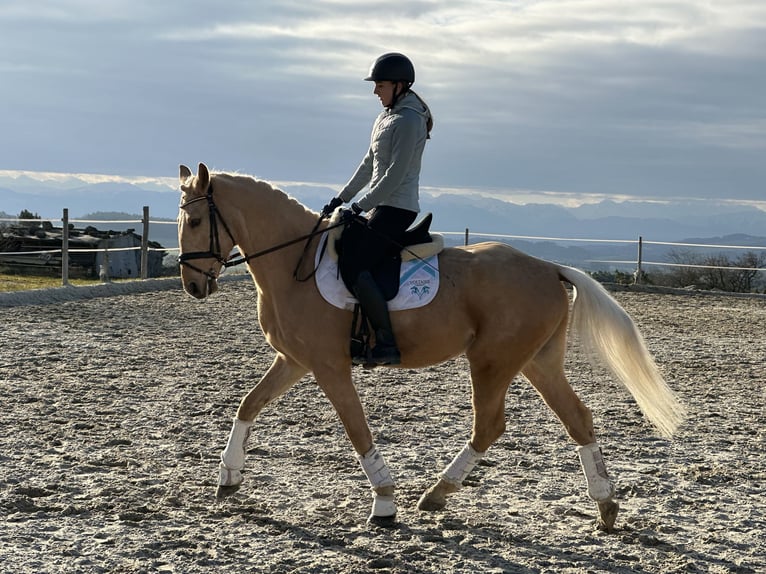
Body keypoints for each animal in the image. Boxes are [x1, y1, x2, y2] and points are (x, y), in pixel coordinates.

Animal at [177, 162, 688, 532]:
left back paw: (437, 493)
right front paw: (227, 479)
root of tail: (548, 267)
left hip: (492, 361)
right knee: (577, 418)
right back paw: (605, 506)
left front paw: (384, 503)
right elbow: (248, 404)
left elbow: (356, 429)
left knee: (490, 426)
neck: (292, 263)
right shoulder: (294, 360)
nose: (192, 285)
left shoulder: (328, 365)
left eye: (198, 219)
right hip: (537, 363)